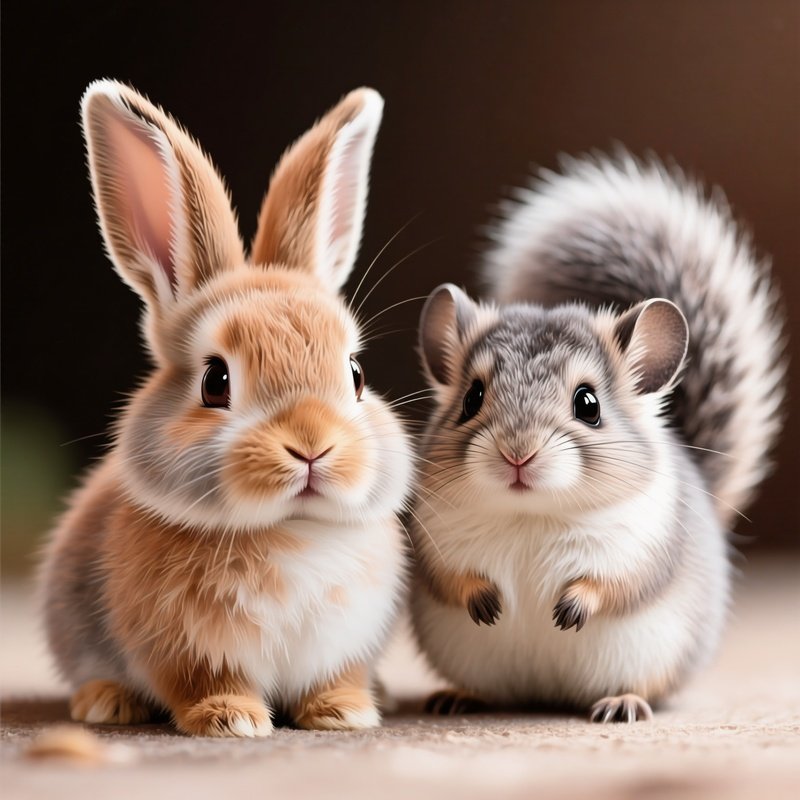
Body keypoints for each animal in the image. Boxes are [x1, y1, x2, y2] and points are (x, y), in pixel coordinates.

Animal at [39, 80, 413, 737]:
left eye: (356, 376)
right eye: (216, 382)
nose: (312, 444)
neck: (291, 532)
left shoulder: (345, 646)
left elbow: (334, 679)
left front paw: (344, 714)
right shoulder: (184, 650)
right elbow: (203, 682)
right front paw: (232, 720)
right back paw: (107, 702)